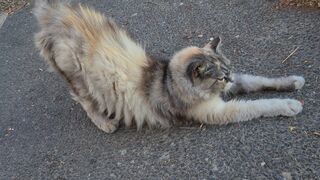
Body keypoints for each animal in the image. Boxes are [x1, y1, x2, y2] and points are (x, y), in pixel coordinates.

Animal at [33, 0, 304, 134]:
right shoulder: (218, 111)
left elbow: (261, 80)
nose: (227, 80)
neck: (168, 79)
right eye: (218, 78)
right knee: (85, 102)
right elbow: (259, 105)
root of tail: (55, 16)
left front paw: (293, 82)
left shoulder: (236, 82)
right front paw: (289, 105)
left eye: (227, 73)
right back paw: (105, 123)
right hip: (78, 78)